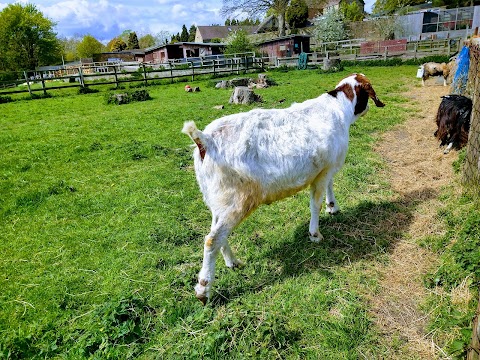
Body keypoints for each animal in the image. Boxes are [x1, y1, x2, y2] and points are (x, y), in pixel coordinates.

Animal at [182, 73, 384, 304]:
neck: (339, 107)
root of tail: (204, 141)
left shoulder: (326, 168)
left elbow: (330, 185)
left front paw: (332, 206)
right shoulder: (323, 171)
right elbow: (314, 203)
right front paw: (315, 233)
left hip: (217, 198)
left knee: (216, 232)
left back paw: (233, 262)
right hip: (236, 200)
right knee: (211, 240)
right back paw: (203, 289)